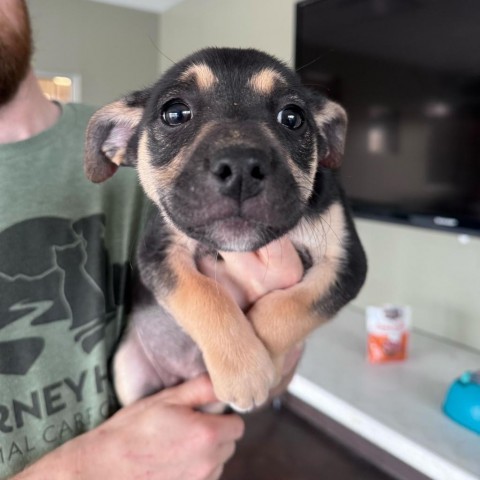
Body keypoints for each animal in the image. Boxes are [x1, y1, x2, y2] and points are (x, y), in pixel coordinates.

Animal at [83, 47, 368, 410]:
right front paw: (244, 370)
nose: (241, 169)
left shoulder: (346, 264)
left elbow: (289, 307)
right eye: (175, 113)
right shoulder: (159, 250)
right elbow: (204, 295)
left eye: (292, 118)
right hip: (128, 370)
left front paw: (263, 362)